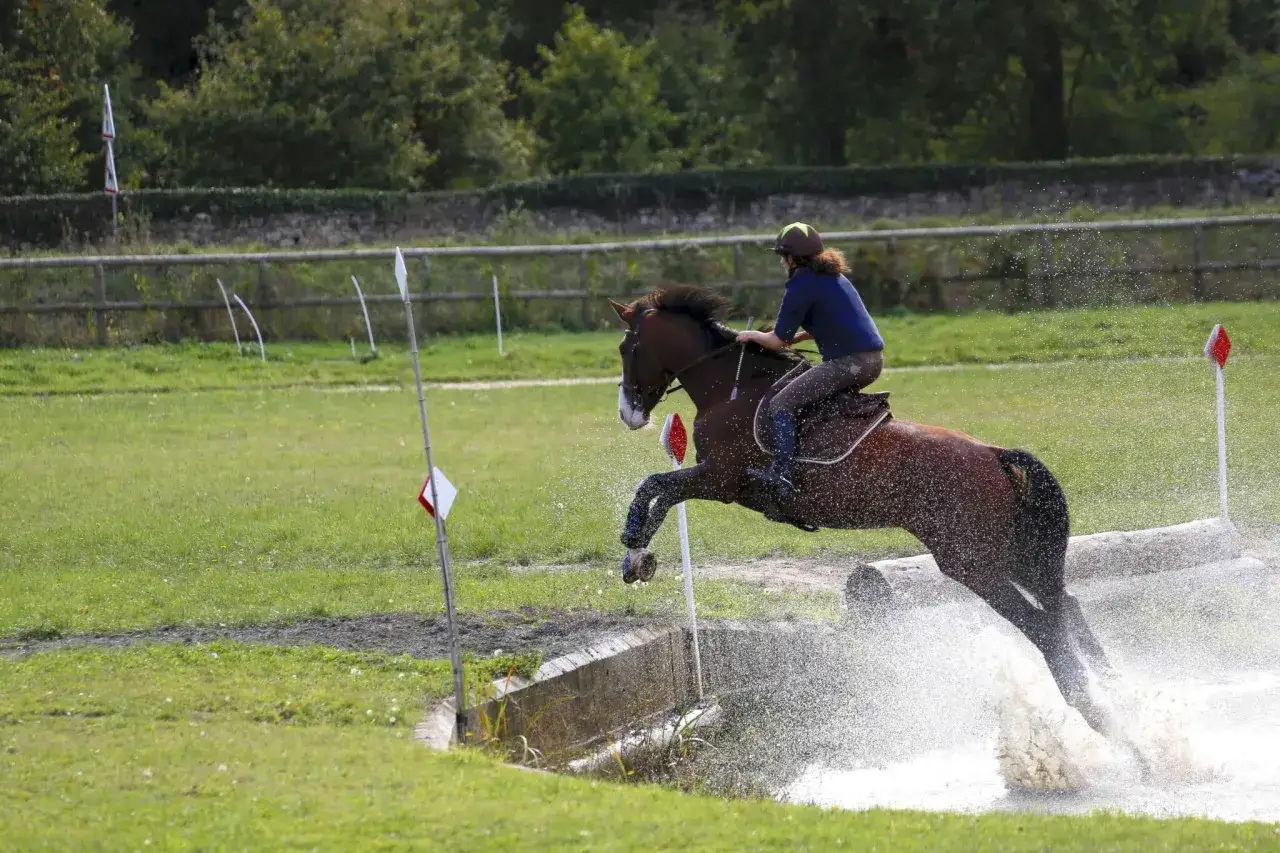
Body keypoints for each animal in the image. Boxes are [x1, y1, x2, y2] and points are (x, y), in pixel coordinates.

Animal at [607, 284, 1124, 740]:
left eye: (626, 347)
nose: (628, 414)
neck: (727, 389)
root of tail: (994, 454)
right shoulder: (717, 483)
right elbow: (662, 493)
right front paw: (640, 558)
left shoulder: (719, 480)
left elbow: (654, 486)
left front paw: (634, 553)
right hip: (1010, 552)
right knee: (1065, 606)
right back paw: (1118, 693)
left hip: (972, 563)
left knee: (1042, 624)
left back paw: (1095, 711)